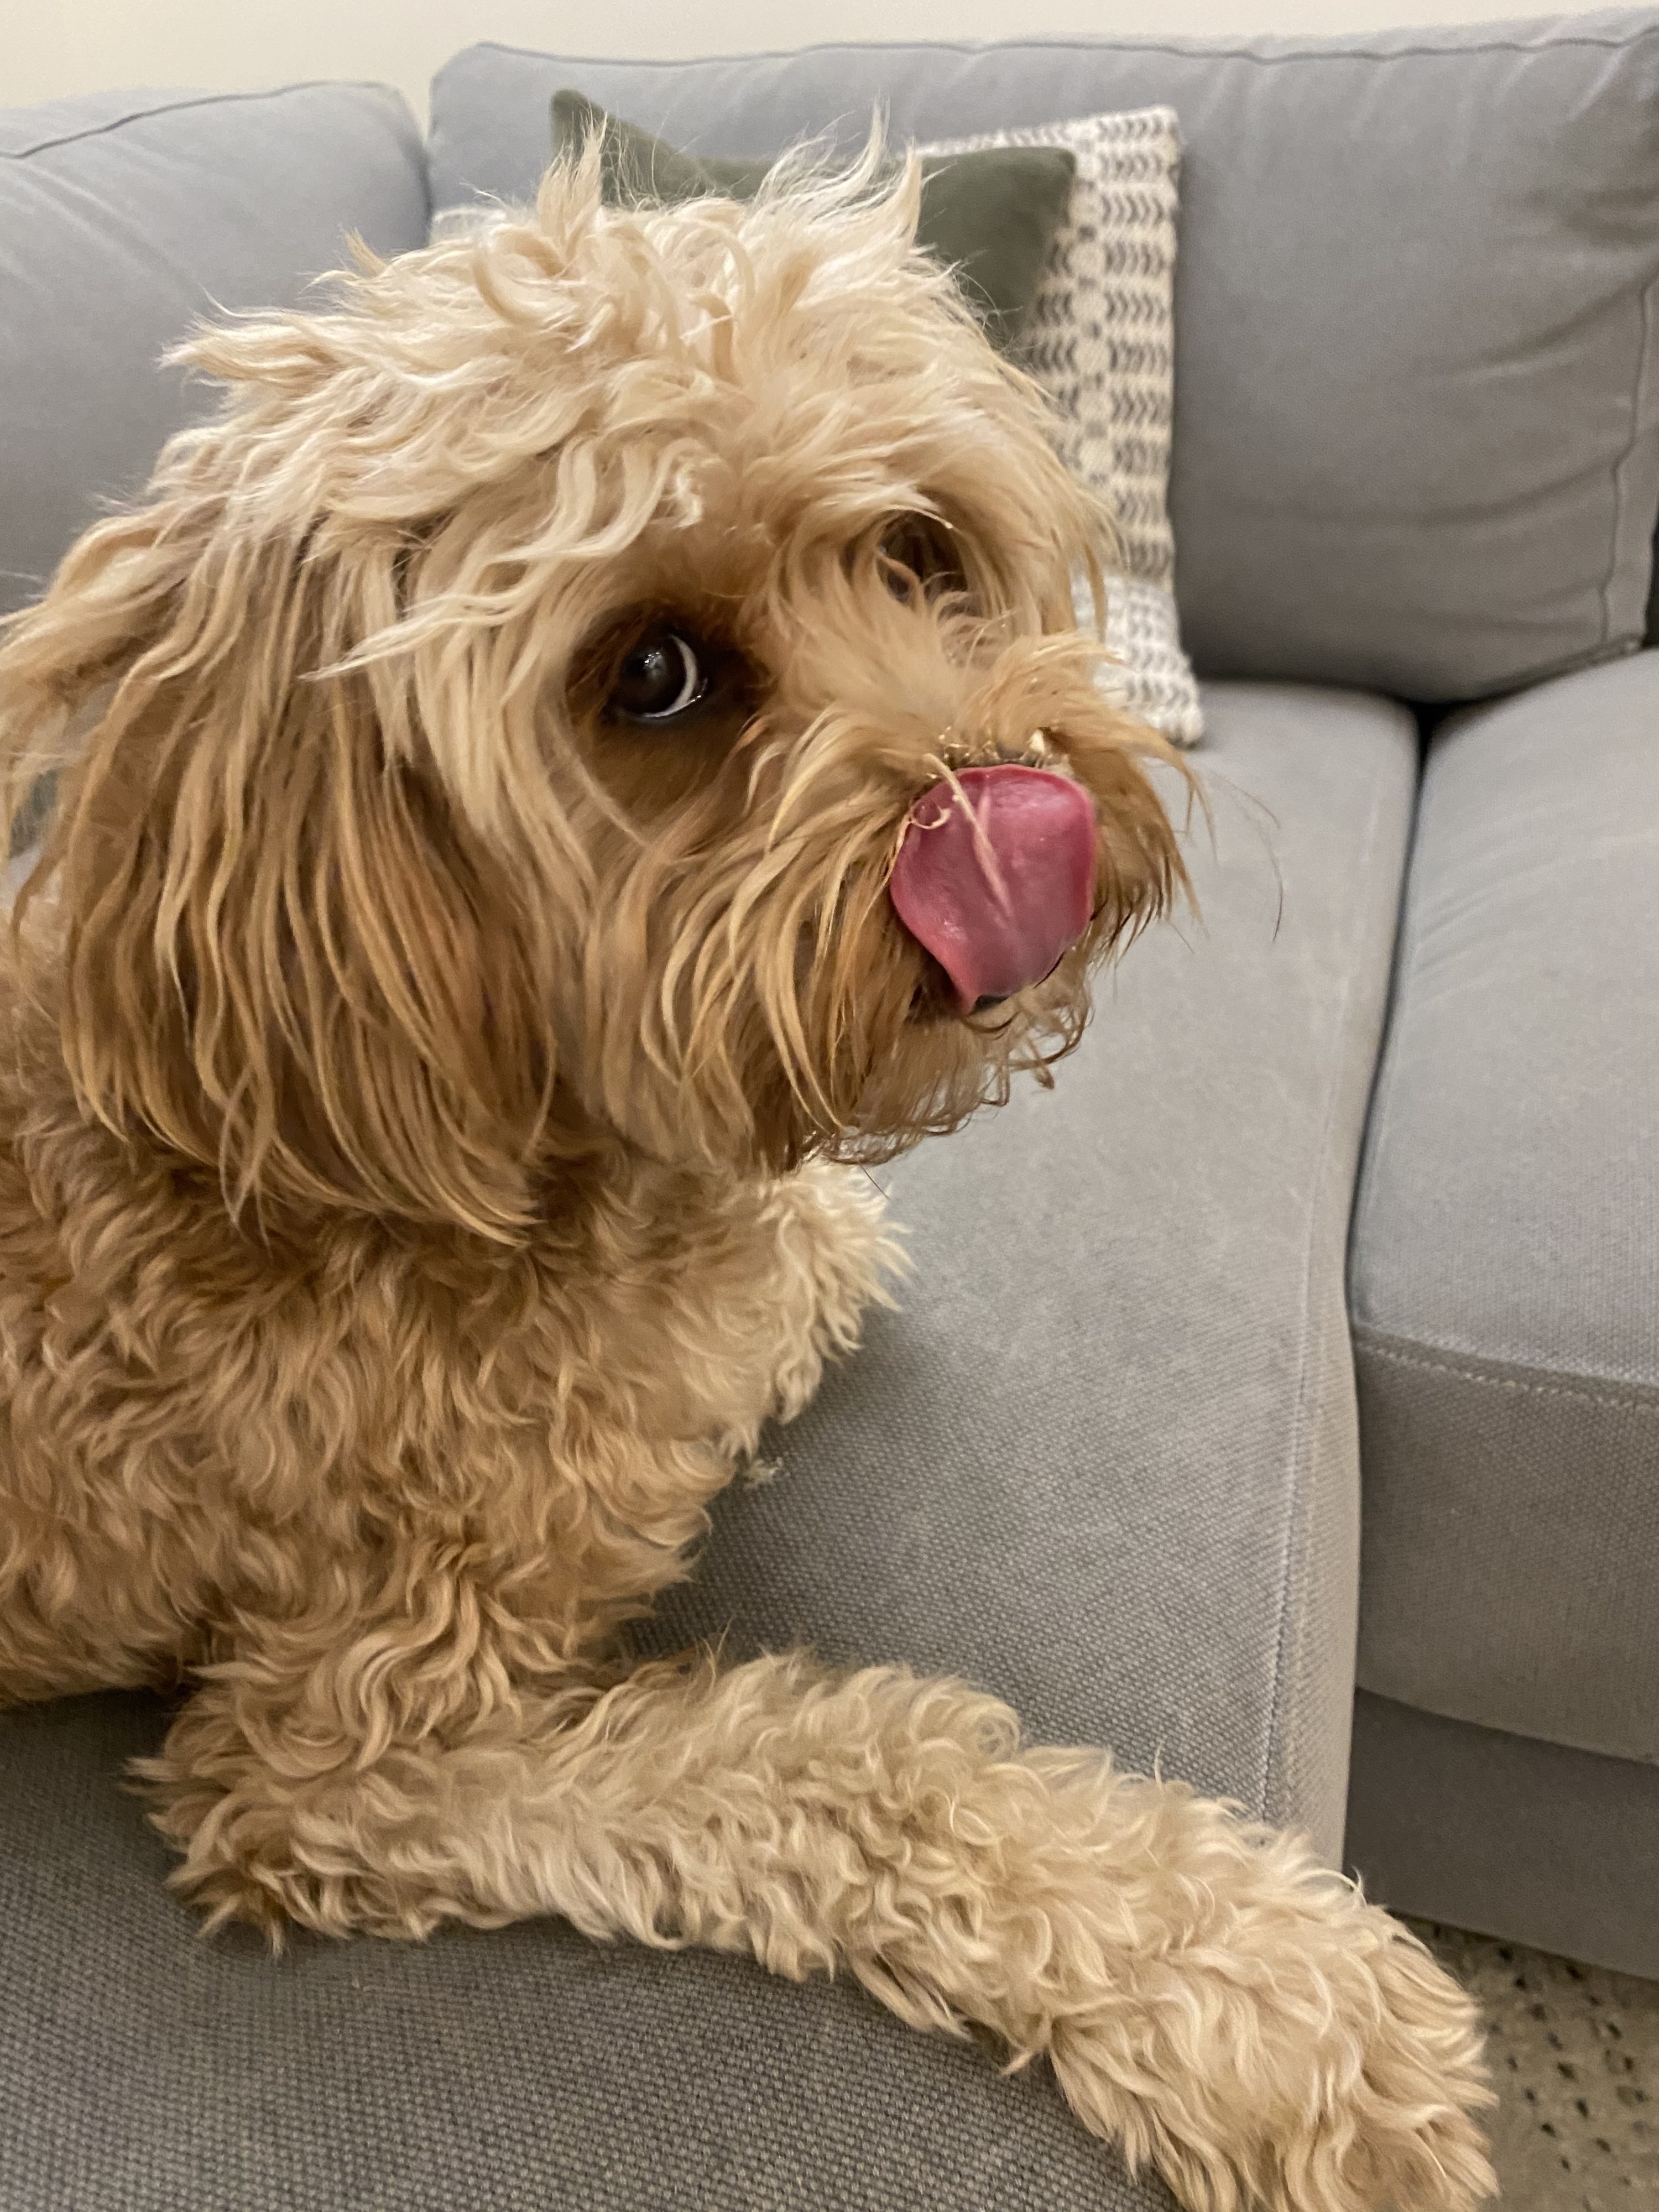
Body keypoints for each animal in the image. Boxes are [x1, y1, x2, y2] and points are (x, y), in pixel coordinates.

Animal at [0, 147, 1504, 2203]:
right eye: (652, 674)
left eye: (918, 554)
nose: (1019, 813)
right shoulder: (345, 1748)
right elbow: (835, 1766)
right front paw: (1277, 2000)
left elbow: (793, 1270)